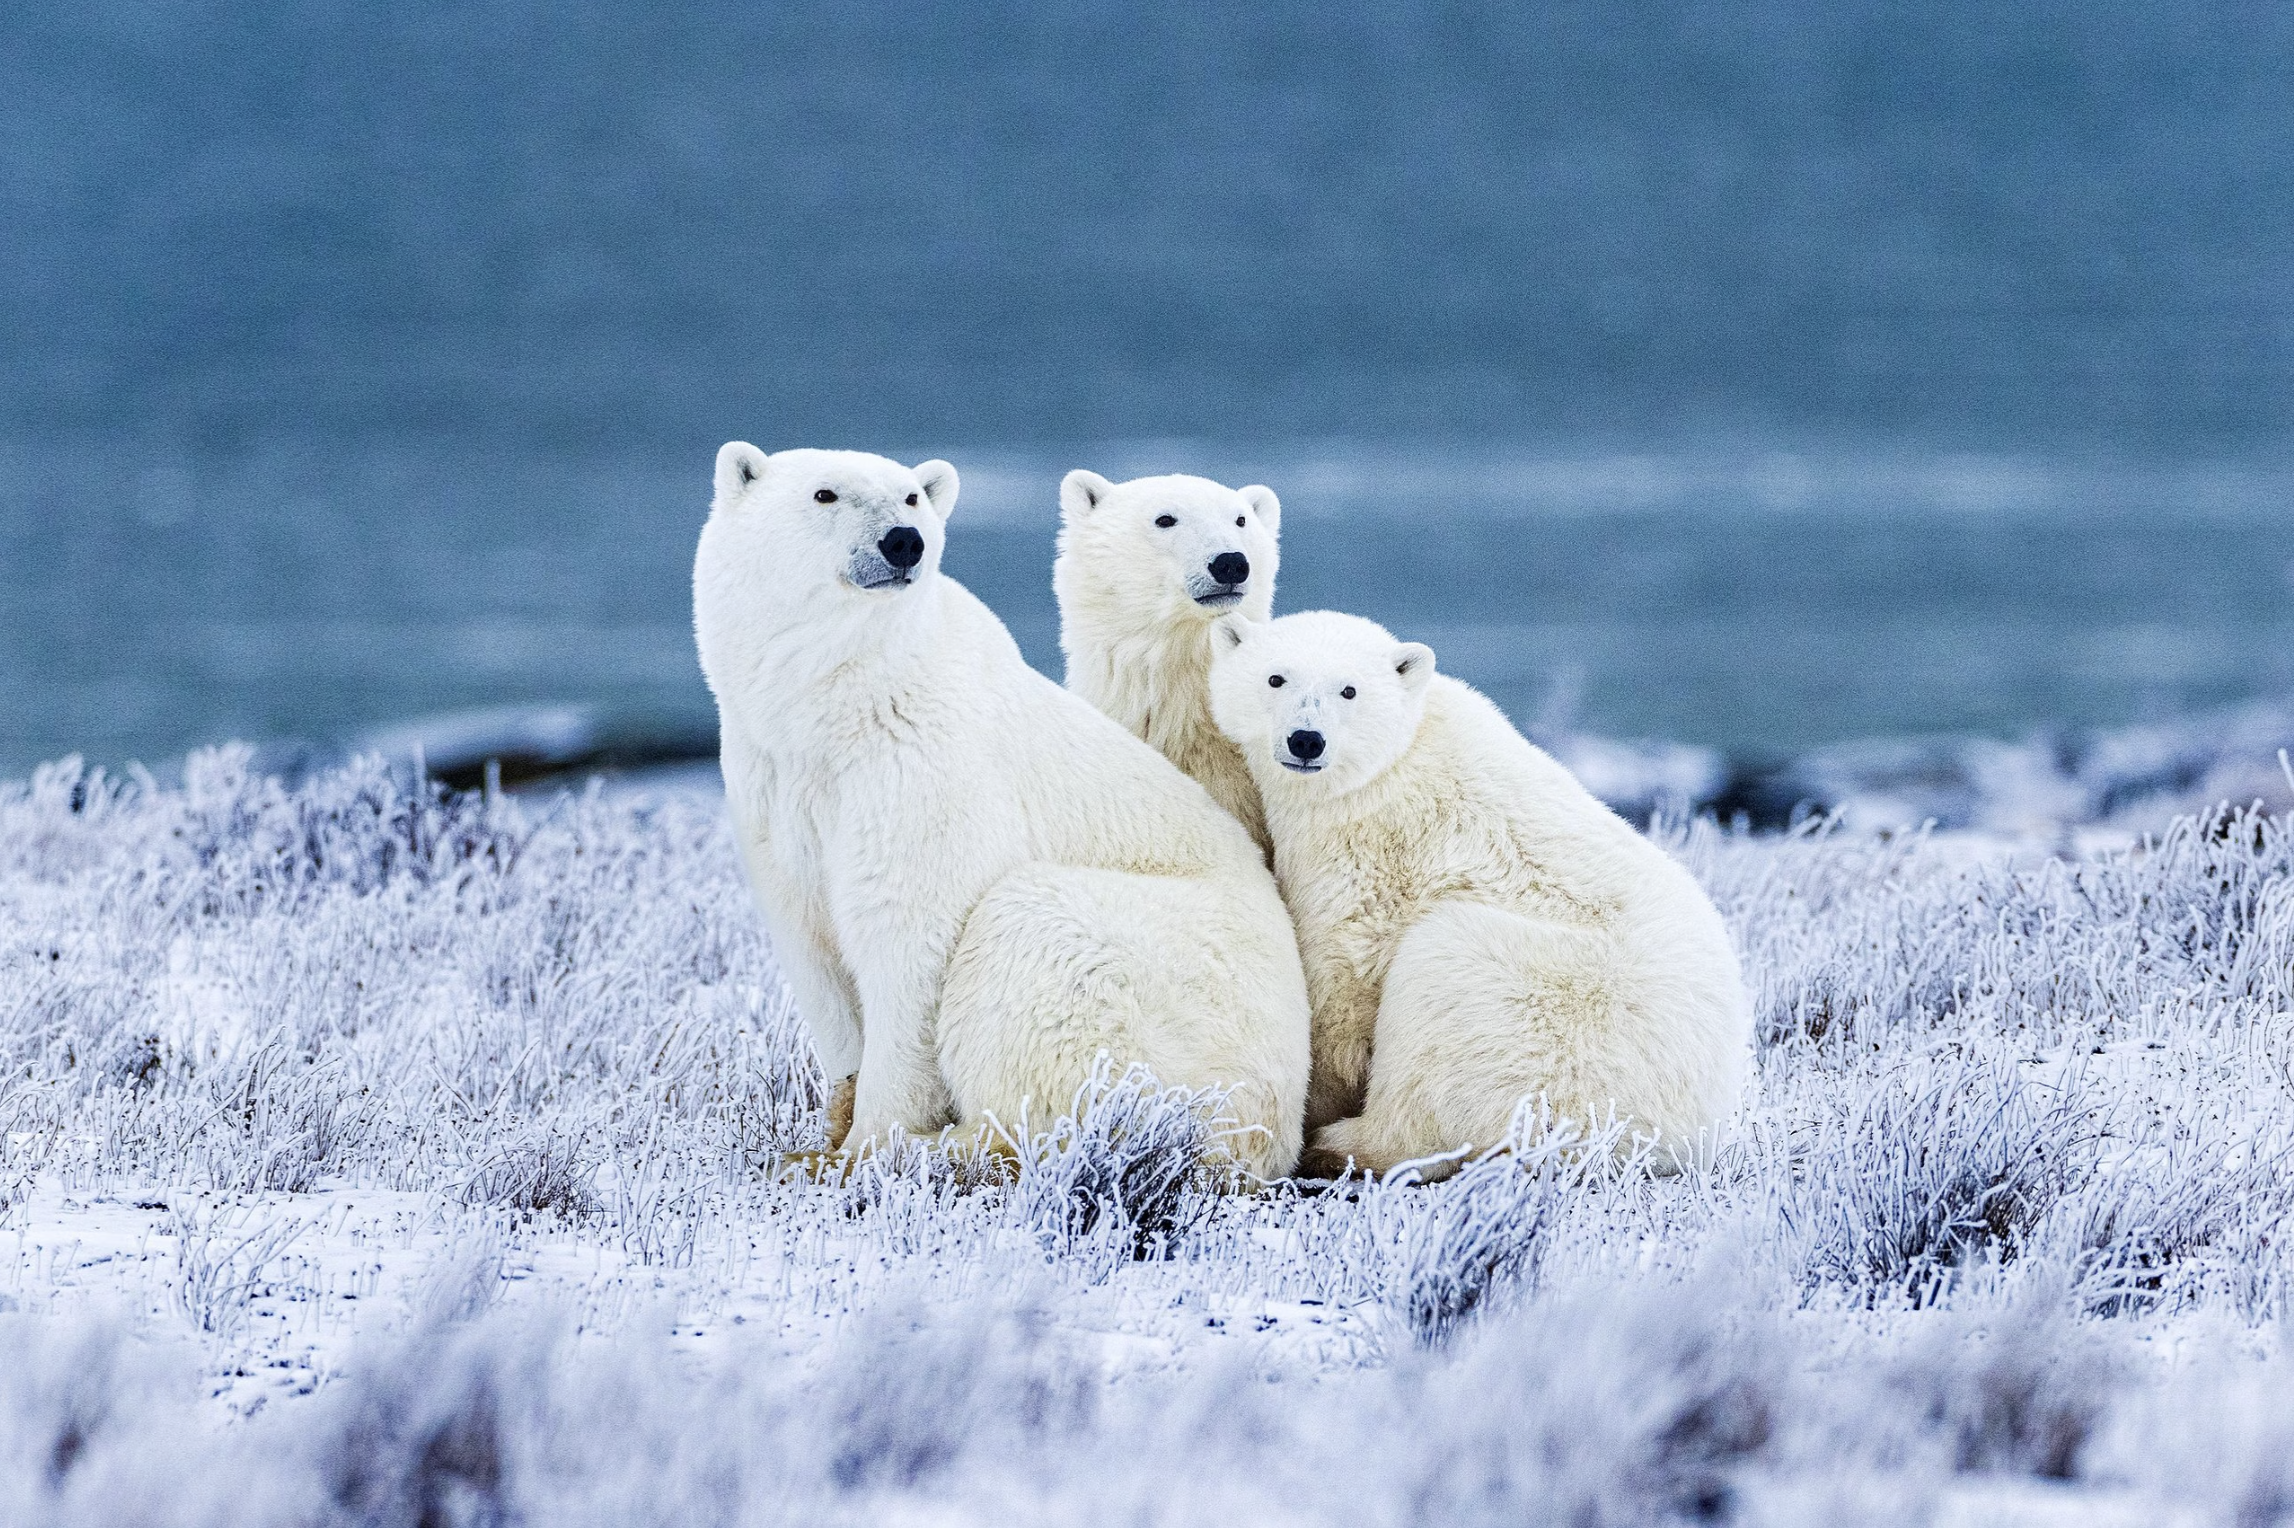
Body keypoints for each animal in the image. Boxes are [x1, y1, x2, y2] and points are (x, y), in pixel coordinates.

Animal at [1206, 609, 1752, 1176]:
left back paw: (1343, 1143)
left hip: (1553, 1008)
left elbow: (1343, 974)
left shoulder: (1369, 845)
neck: (1397, 761)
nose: (1306, 740)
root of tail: (1680, 1137)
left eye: (1349, 689)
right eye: (1276, 678)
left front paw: (1316, 1102)